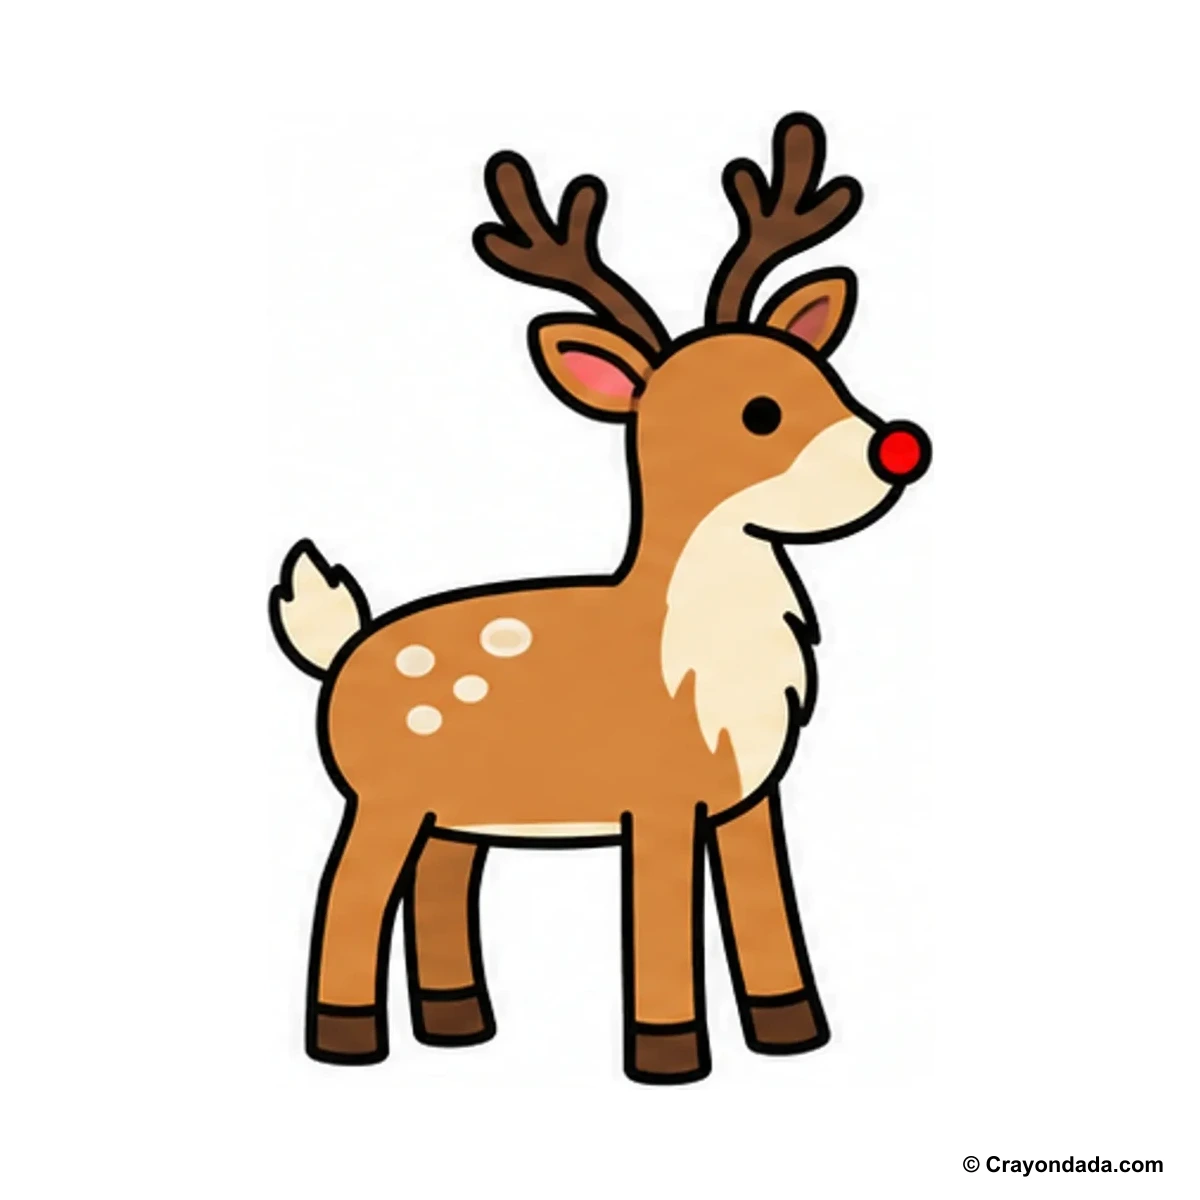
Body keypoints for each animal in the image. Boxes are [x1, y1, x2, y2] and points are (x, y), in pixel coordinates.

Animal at [270, 113, 931, 1085]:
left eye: (826, 374)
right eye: (759, 413)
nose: (899, 448)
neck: (699, 653)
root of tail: (338, 648)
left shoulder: (749, 798)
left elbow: (767, 916)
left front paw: (793, 1036)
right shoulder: (655, 800)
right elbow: (659, 927)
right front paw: (668, 1057)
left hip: (459, 809)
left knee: (440, 884)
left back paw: (460, 1025)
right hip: (382, 796)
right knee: (352, 894)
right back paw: (348, 1040)